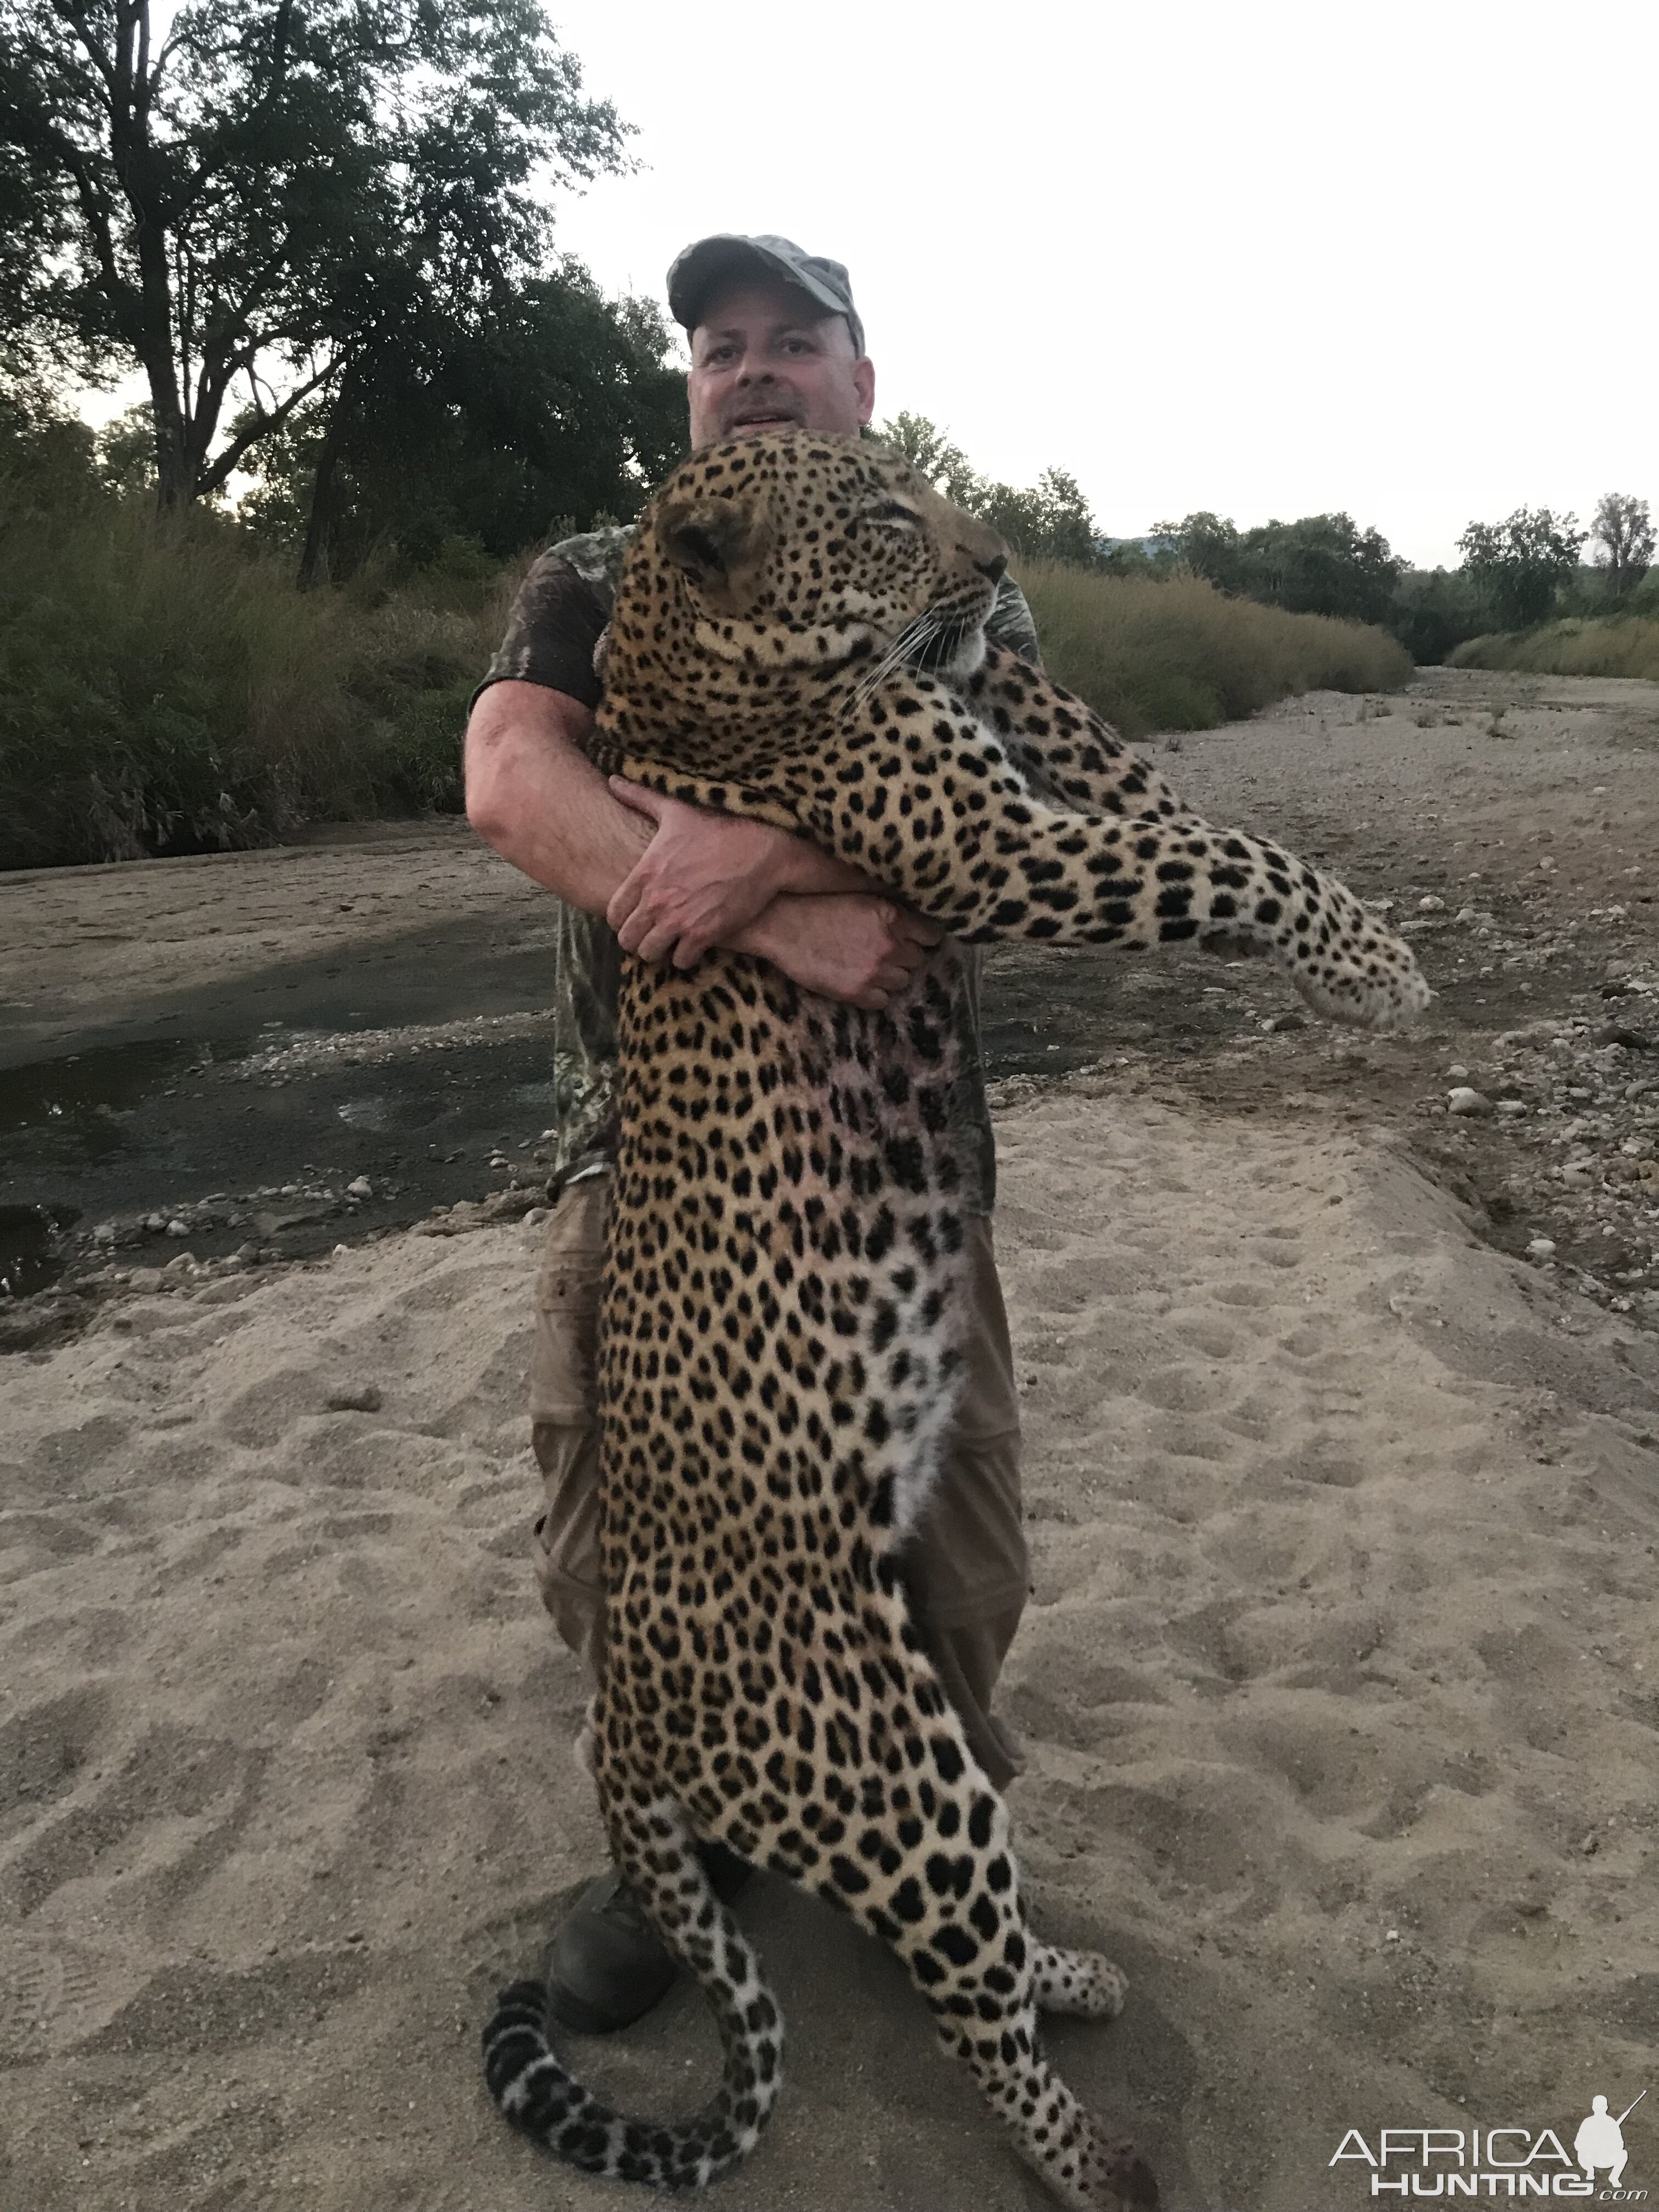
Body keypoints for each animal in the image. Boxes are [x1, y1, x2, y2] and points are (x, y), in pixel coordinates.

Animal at [479, 422, 1433, 2203]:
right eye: (876, 512)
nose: (995, 559)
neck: (687, 656)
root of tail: (623, 1722)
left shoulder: (1017, 768)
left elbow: (1126, 770)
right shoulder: (994, 848)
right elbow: (1216, 859)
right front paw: (1371, 959)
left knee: (969, 1950)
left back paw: (1076, 1978)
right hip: (893, 1771)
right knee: (958, 1988)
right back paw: (1097, 2156)